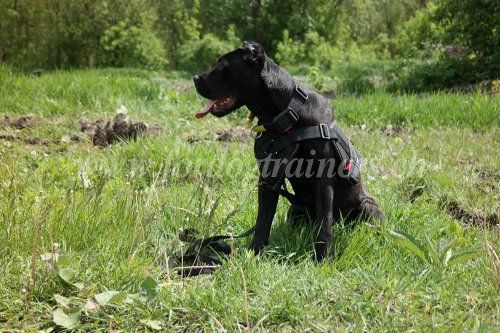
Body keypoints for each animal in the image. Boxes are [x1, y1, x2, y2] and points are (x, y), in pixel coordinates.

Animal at [194, 41, 382, 260]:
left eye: (221, 66)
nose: (195, 79)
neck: (286, 114)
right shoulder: (268, 179)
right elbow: (263, 219)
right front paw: (254, 252)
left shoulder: (323, 180)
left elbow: (325, 223)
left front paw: (323, 258)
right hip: (295, 208)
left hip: (368, 207)